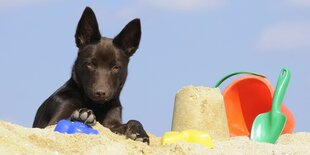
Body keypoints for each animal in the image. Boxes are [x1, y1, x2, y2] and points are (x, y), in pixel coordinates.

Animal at [33, 6, 150, 143]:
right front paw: (81, 115)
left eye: (116, 67)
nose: (100, 93)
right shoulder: (56, 118)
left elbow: (133, 121)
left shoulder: (112, 124)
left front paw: (139, 132)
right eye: (90, 64)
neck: (95, 105)